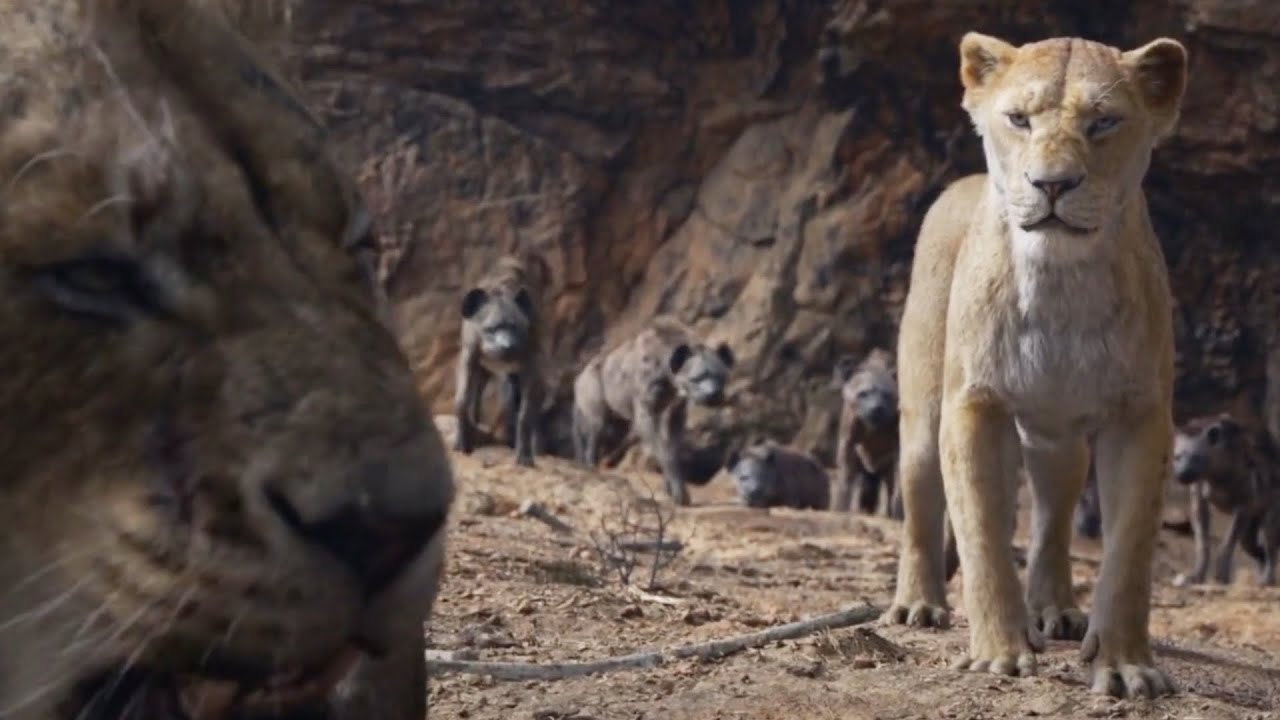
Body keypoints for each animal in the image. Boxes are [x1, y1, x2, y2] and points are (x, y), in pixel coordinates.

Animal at [886, 33, 1188, 698]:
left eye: (1103, 122)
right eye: (1019, 119)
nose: (1052, 184)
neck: (1059, 280)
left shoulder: (1141, 417)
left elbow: (1129, 553)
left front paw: (1125, 664)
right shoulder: (973, 406)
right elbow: (981, 537)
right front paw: (998, 653)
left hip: (1058, 442)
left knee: (1052, 516)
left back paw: (1055, 608)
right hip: (923, 412)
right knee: (923, 503)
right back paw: (918, 605)